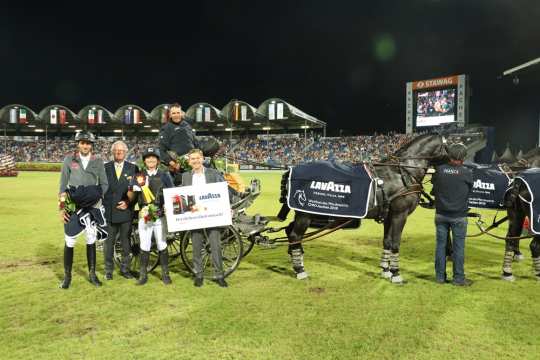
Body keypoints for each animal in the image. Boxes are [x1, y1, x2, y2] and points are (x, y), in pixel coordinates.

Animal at [282, 133, 448, 284]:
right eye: (452, 143)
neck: (402, 173)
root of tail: (292, 170)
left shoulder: (389, 215)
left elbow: (387, 241)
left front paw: (386, 270)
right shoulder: (400, 214)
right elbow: (395, 243)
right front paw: (396, 274)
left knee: (290, 232)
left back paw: (297, 260)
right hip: (306, 214)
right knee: (295, 236)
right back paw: (300, 270)